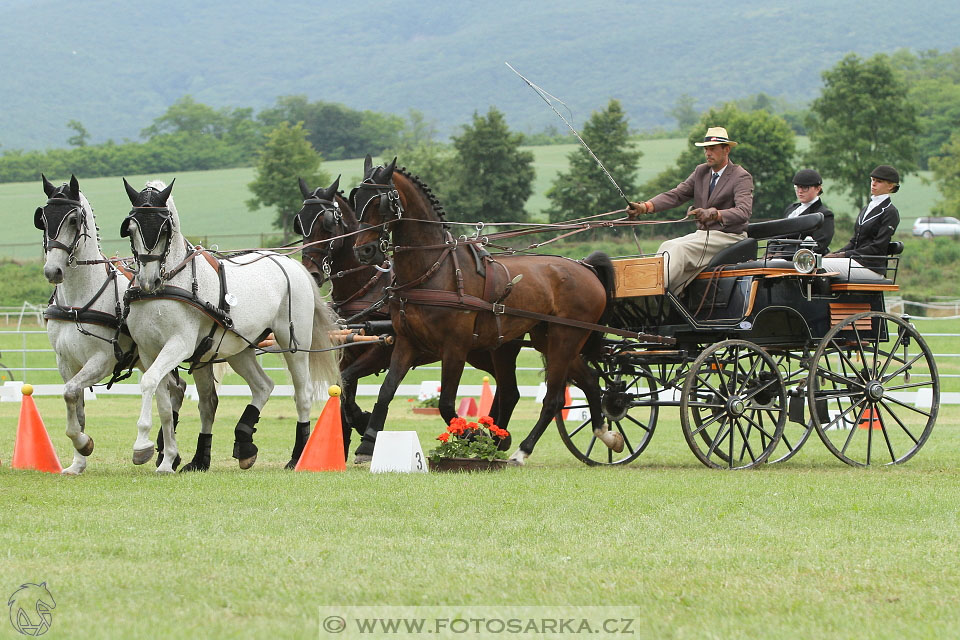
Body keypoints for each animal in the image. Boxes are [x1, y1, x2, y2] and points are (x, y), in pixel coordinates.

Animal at [35, 175, 188, 476]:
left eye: (73, 220)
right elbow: (75, 403)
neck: (78, 302)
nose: (52, 271)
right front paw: (78, 461)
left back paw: (166, 454)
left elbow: (70, 393)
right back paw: (167, 454)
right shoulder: (65, 362)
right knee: (172, 391)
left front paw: (84, 444)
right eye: (43, 219)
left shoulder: (102, 360)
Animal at [118, 179, 342, 470]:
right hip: (238, 348)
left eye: (165, 229)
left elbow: (148, 383)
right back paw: (238, 445)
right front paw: (167, 460)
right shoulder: (149, 351)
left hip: (294, 342)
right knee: (261, 387)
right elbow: (164, 402)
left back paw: (298, 455)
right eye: (132, 229)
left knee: (302, 395)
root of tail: (290, 263)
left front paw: (142, 446)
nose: (148, 280)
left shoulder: (178, 345)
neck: (171, 284)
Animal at [294, 175, 520, 460]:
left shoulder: (382, 350)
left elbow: (349, 383)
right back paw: (494, 433)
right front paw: (349, 435)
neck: (367, 286)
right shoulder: (348, 351)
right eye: (300, 224)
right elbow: (344, 390)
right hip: (479, 352)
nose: (311, 273)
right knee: (503, 386)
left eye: (327, 224)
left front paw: (364, 427)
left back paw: (495, 434)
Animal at [350, 158, 624, 462]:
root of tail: (585, 266)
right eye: (356, 200)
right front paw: (367, 445)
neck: (433, 270)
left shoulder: (455, 347)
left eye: (381, 202)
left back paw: (521, 451)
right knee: (588, 381)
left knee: (552, 399)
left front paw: (473, 435)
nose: (363, 251)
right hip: (549, 340)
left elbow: (446, 403)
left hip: (566, 338)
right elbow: (386, 391)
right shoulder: (406, 342)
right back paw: (606, 435)